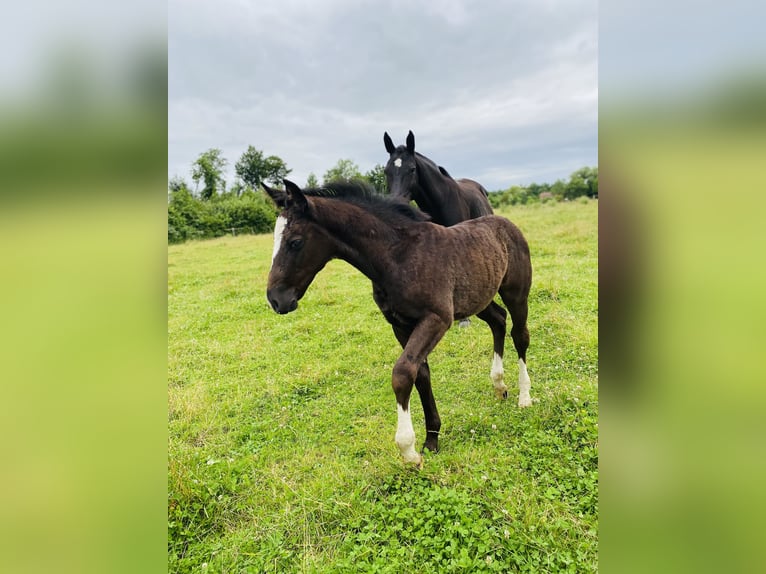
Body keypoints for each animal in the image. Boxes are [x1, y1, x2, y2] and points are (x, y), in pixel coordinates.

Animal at [266, 180, 536, 468]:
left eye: (295, 242)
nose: (276, 299)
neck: (397, 257)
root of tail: (506, 223)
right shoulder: (400, 324)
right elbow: (421, 374)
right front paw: (431, 440)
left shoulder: (437, 318)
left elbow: (403, 373)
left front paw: (409, 450)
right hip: (478, 298)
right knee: (498, 320)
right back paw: (499, 386)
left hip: (516, 294)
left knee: (520, 334)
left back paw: (524, 397)